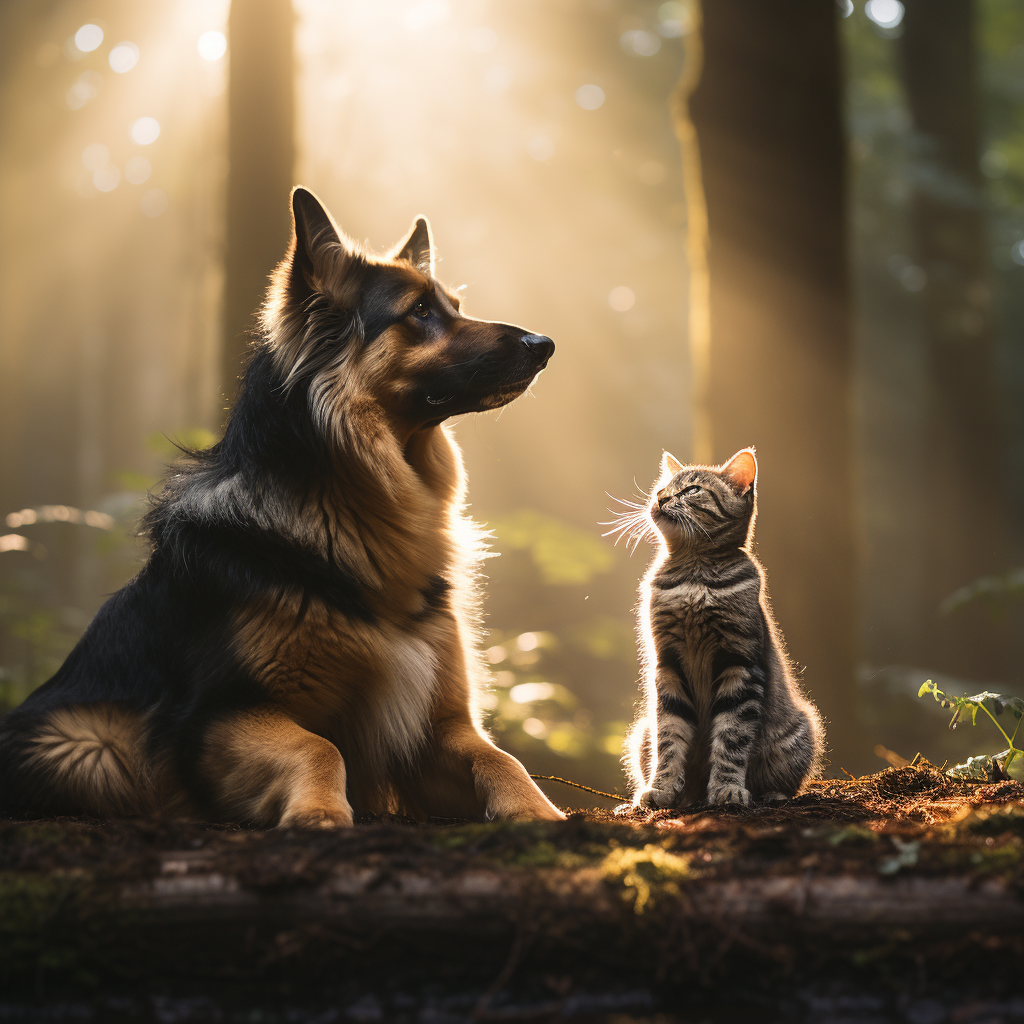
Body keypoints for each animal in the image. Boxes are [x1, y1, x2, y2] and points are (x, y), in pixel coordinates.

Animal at [0, 188, 565, 827]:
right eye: (419, 311)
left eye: (454, 306)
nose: (544, 346)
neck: (352, 510)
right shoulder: (218, 715)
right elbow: (318, 745)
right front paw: (318, 813)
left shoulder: (435, 726)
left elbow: (500, 757)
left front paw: (538, 813)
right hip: (87, 742)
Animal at [614, 448, 823, 806]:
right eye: (661, 488)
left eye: (691, 490)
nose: (660, 498)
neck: (694, 575)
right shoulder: (667, 663)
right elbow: (669, 738)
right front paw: (662, 788)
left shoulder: (739, 662)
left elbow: (731, 737)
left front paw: (727, 788)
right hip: (641, 731)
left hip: (800, 731)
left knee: (780, 783)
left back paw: (771, 795)